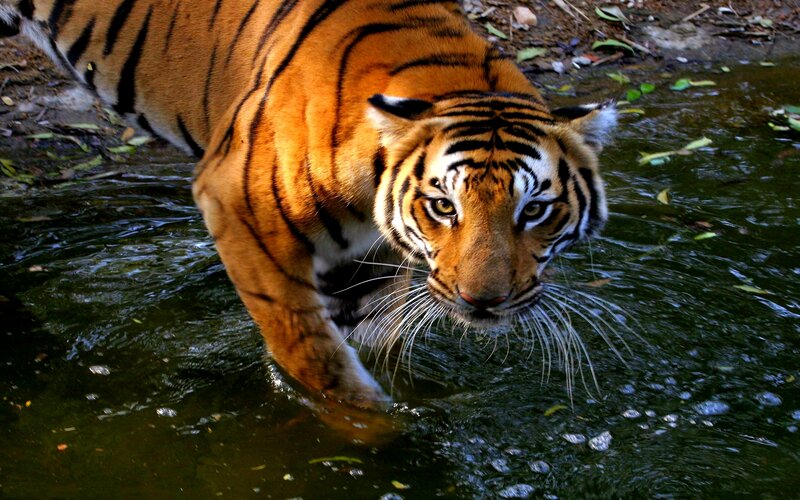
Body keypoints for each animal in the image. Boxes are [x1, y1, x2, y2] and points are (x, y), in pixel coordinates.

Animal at [0, 0, 616, 409]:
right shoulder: (237, 210)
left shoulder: (362, 262)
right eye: (444, 207)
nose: (482, 303)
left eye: (533, 211)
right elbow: (317, 360)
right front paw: (381, 437)